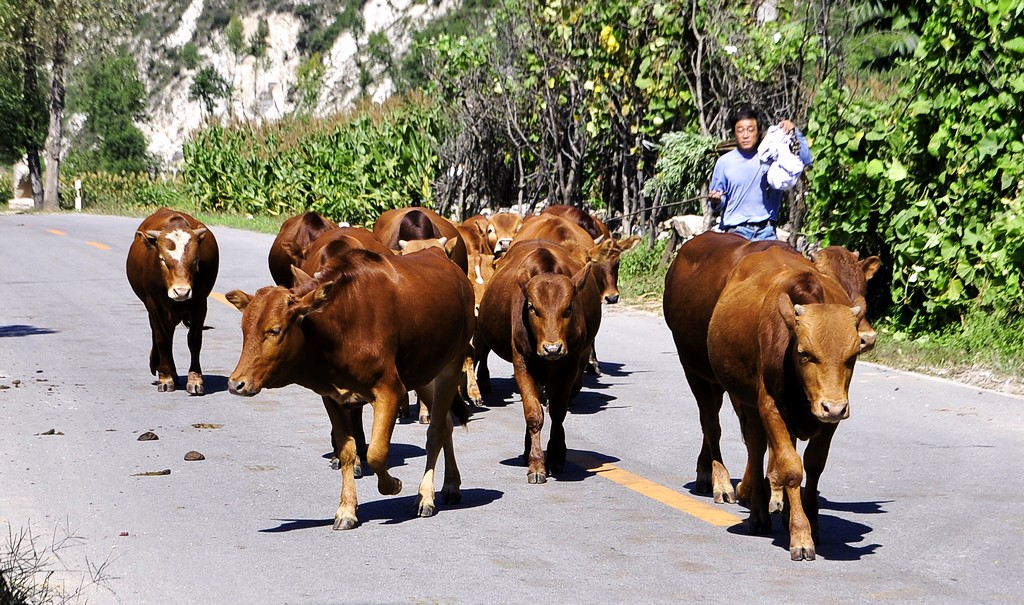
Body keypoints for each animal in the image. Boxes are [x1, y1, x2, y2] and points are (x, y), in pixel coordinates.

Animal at [125, 210, 220, 395]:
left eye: (195, 259)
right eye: (162, 259)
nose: (181, 291)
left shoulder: (200, 304)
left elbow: (194, 340)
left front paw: (195, 379)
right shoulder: (154, 305)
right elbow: (162, 339)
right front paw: (165, 378)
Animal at [226, 244, 473, 532]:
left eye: (274, 330)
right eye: (244, 329)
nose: (236, 383)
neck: (340, 329)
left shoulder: (390, 390)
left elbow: (376, 453)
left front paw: (392, 485)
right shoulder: (332, 396)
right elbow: (347, 451)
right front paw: (346, 509)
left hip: (450, 367)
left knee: (435, 431)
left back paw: (427, 495)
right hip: (423, 375)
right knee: (445, 424)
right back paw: (451, 483)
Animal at [477, 241, 602, 483]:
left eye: (569, 308)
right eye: (532, 307)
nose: (552, 348)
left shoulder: (569, 365)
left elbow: (558, 411)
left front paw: (556, 455)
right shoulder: (522, 364)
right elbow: (534, 414)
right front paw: (536, 464)